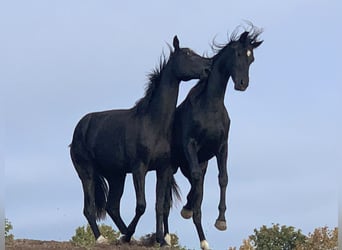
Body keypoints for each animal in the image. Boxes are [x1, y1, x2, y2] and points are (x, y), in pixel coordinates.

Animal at [69, 36, 211, 245]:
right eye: (187, 54)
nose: (208, 69)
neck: (153, 123)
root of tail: (78, 130)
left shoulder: (163, 169)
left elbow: (159, 205)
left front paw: (161, 240)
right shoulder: (139, 168)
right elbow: (141, 205)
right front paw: (136, 236)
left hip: (116, 176)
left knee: (112, 207)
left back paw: (127, 236)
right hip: (86, 173)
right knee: (89, 208)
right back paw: (103, 238)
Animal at [170, 28, 264, 249]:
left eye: (252, 58)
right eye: (238, 54)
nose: (242, 84)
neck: (210, 107)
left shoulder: (222, 148)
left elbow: (223, 178)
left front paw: (221, 221)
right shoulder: (191, 145)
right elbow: (198, 181)